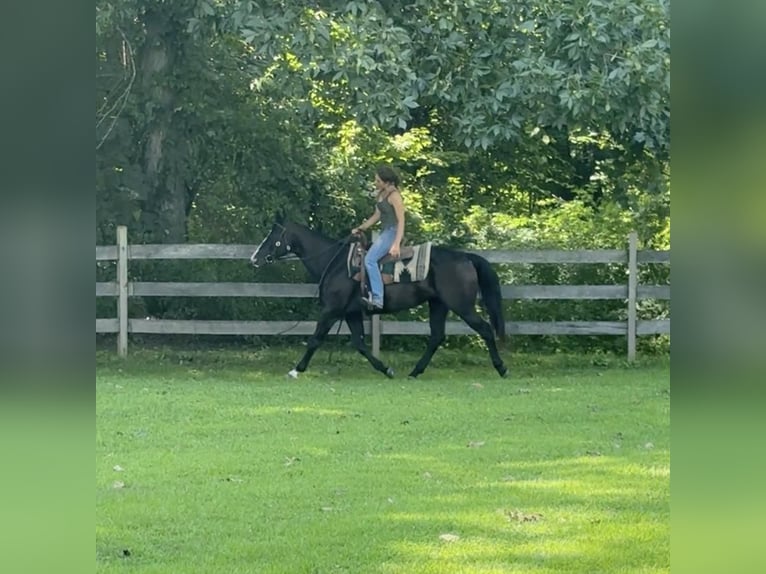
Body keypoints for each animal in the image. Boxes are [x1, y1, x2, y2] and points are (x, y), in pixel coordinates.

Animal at [252, 223, 510, 380]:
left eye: (272, 238)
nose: (255, 258)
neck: (335, 264)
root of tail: (465, 257)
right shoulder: (351, 313)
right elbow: (359, 343)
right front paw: (386, 369)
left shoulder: (331, 310)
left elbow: (315, 339)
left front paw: (296, 370)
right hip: (438, 305)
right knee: (437, 336)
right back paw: (415, 371)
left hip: (462, 306)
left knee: (485, 329)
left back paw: (502, 368)